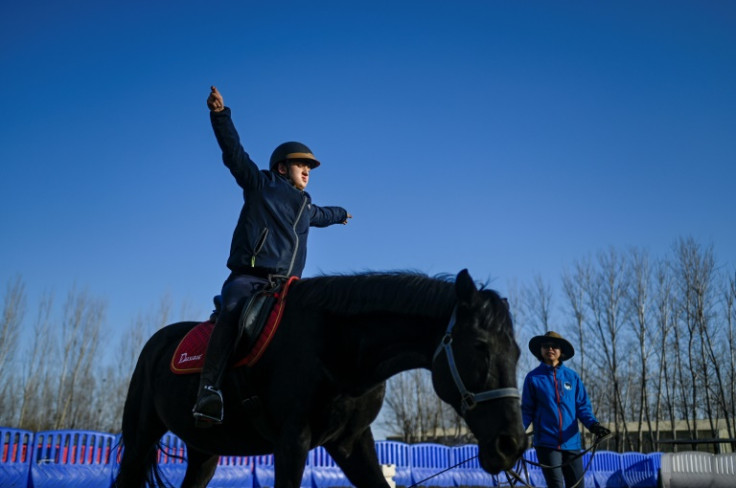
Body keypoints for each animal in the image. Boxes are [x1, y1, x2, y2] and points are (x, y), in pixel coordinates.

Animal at [112, 268, 528, 486]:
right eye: (480, 347)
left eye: (517, 353)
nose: (511, 446)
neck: (337, 347)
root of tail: (157, 343)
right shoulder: (291, 442)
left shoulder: (351, 442)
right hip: (140, 438)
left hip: (203, 451)